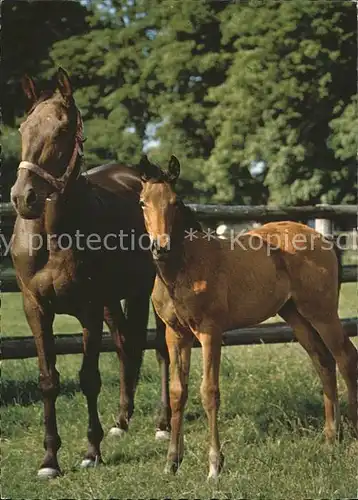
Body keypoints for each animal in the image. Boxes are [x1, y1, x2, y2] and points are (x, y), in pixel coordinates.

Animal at [8, 68, 171, 478]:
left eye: (63, 130)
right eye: (23, 128)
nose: (23, 197)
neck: (53, 235)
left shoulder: (89, 309)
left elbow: (89, 378)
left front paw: (91, 452)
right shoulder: (36, 309)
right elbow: (48, 380)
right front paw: (50, 460)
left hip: (149, 291)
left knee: (161, 349)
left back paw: (162, 424)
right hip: (116, 301)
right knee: (126, 345)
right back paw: (122, 421)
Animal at [138, 154, 358, 478]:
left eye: (175, 202)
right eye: (143, 202)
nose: (160, 247)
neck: (185, 267)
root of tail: (322, 238)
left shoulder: (210, 332)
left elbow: (209, 391)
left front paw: (214, 466)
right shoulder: (175, 334)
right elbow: (178, 391)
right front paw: (171, 462)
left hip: (322, 312)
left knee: (345, 358)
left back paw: (351, 432)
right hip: (296, 316)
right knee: (324, 362)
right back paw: (331, 438)